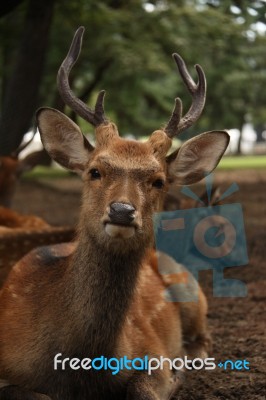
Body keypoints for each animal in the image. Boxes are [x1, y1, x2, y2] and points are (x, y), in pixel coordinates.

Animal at [0, 26, 230, 398]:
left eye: (159, 181)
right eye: (94, 171)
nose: (122, 211)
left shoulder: (151, 351)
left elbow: (144, 388)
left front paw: (176, 377)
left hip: (191, 291)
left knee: (205, 338)